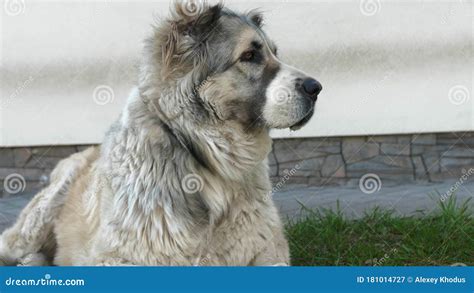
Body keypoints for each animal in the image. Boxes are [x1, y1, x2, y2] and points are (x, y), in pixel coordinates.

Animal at [0, 0, 322, 264]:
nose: (316, 88)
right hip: (42, 212)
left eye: (274, 53)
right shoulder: (118, 256)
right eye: (250, 55)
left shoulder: (268, 250)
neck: (206, 158)